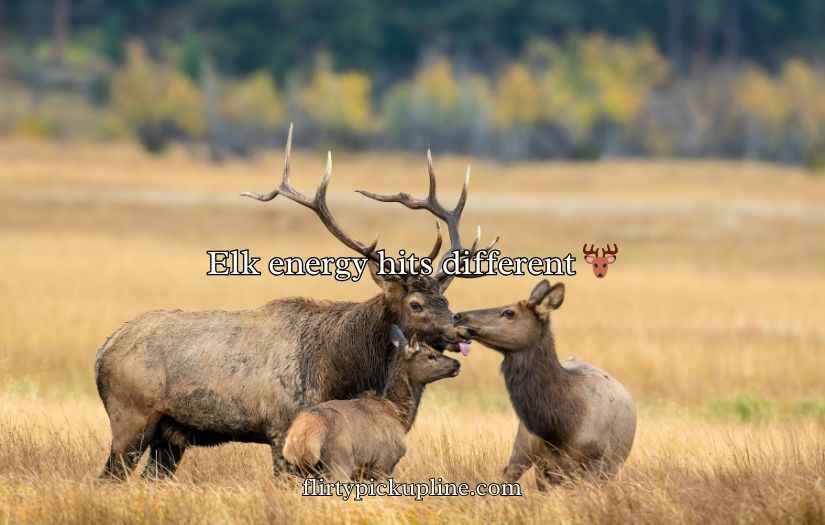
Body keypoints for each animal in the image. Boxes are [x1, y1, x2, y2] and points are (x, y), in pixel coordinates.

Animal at [283, 325, 460, 480]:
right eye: (431, 355)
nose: (456, 364)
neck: (398, 416)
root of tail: (303, 439)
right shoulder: (384, 463)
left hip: (299, 470)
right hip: (339, 463)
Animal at [453, 280, 636, 489]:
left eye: (509, 312)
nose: (458, 316)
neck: (560, 427)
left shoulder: (596, 465)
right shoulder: (538, 460)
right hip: (524, 446)